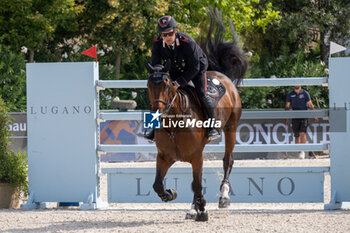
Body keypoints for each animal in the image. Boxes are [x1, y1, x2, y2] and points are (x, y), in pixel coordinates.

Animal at [146, 20, 247, 221]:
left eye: (167, 84)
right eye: (148, 85)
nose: (157, 114)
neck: (173, 125)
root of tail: (222, 75)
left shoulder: (195, 156)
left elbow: (198, 184)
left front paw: (202, 209)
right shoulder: (165, 157)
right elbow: (158, 184)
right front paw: (171, 194)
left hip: (231, 128)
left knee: (228, 161)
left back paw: (223, 197)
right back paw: (193, 208)